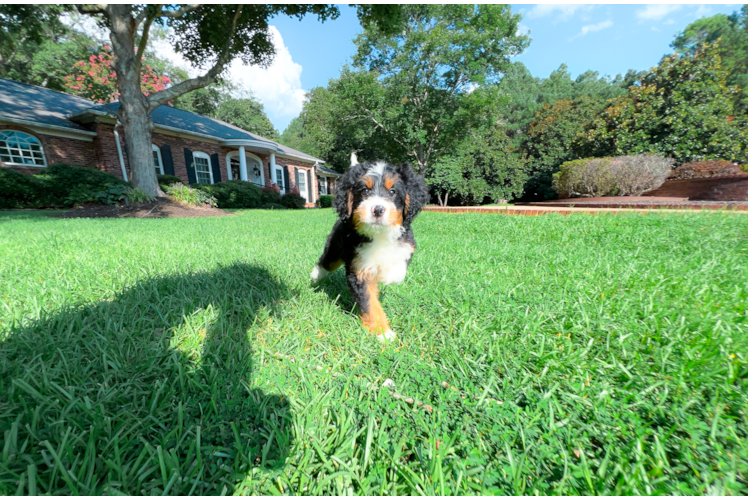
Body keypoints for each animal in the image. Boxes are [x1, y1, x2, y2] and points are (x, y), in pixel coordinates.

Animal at [310, 162, 426, 342]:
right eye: (364, 191)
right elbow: (370, 303)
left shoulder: (406, 244)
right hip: (336, 246)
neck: (379, 234)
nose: (377, 209)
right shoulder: (360, 271)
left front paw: (388, 275)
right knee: (327, 262)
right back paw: (316, 275)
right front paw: (383, 333)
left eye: (392, 192)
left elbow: (398, 267)